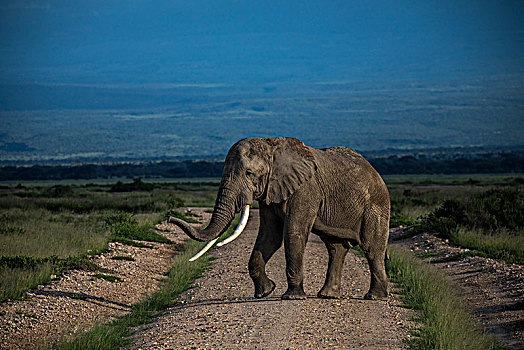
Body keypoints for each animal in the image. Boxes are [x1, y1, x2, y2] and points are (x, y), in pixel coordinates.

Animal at [170, 137, 390, 300]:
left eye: (249, 173)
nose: (171, 218)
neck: (271, 147)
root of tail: (377, 173)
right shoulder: (270, 192)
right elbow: (270, 236)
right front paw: (265, 292)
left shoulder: (305, 189)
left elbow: (293, 233)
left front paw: (292, 297)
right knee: (336, 248)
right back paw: (327, 295)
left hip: (376, 206)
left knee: (372, 249)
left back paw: (374, 297)